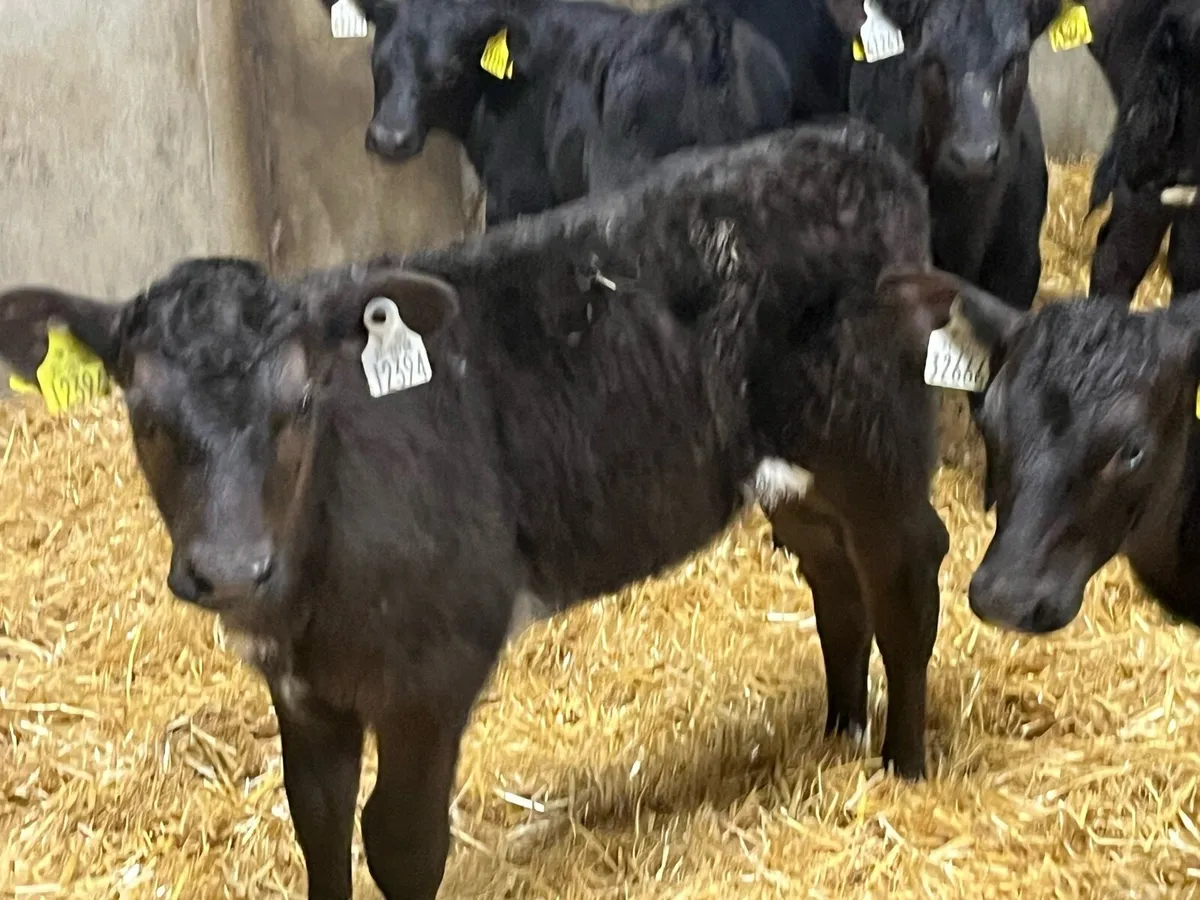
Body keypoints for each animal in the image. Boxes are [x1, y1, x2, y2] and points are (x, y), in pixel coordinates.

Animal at [0, 122, 948, 899]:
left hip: (880, 448)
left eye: (301, 403)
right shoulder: (305, 692)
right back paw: (839, 731)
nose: (230, 567)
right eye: (144, 412)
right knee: (836, 584)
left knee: (906, 579)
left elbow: (400, 841)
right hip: (797, 477)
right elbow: (318, 823)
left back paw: (903, 763)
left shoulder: (434, 670)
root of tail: (854, 146)